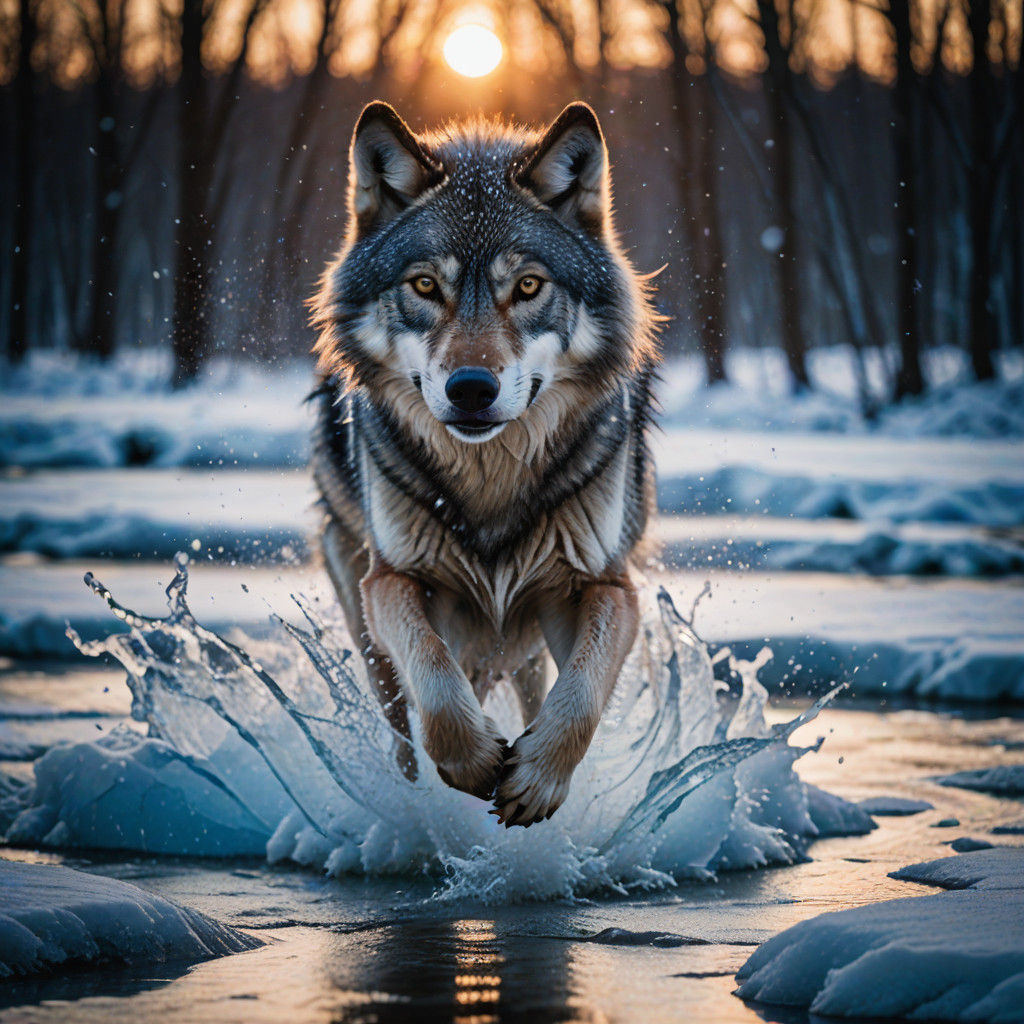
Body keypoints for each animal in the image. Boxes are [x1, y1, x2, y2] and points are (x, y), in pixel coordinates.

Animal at [310, 100, 660, 826]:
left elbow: (580, 692)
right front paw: (472, 760)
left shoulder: (606, 585)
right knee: (402, 723)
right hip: (363, 611)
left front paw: (537, 781)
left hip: (525, 631)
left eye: (527, 286)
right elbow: (436, 683)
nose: (471, 388)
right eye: (424, 285)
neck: (490, 480)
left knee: (533, 685)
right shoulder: (394, 580)